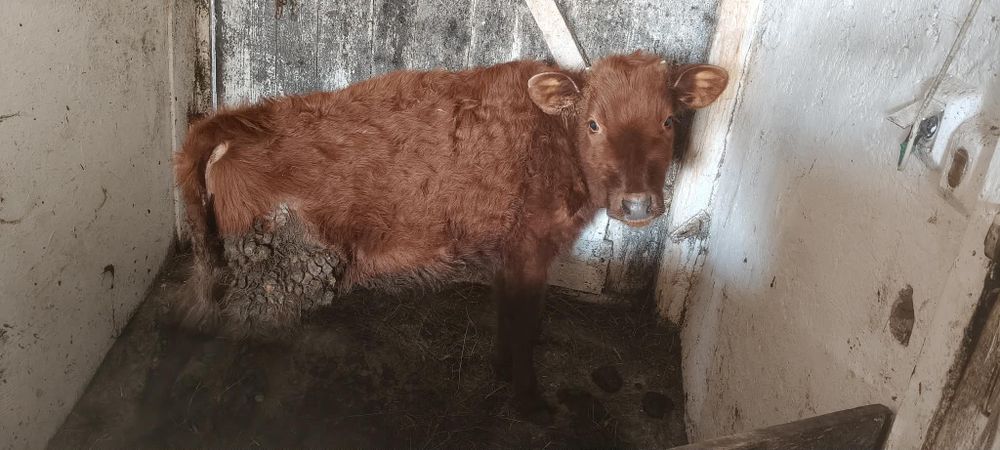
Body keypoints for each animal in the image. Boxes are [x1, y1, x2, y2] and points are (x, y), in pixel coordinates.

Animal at [173, 51, 728, 421]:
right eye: (593, 123)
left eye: (669, 120)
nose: (637, 204)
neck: (550, 142)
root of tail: (240, 120)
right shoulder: (530, 249)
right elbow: (524, 322)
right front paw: (530, 401)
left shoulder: (511, 251)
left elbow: (510, 316)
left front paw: (503, 370)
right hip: (274, 266)